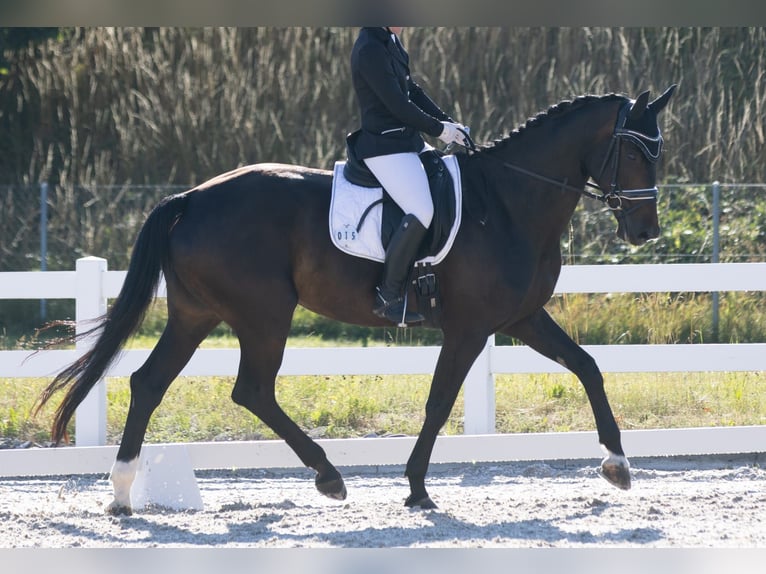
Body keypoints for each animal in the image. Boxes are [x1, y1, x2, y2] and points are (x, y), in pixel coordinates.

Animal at [36, 83, 680, 516]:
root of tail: (191, 197)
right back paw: (329, 476)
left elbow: (588, 366)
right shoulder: (470, 328)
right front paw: (417, 490)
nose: (645, 231)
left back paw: (123, 493)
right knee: (251, 390)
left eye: (659, 150)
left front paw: (619, 466)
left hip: (197, 314)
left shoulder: (520, 318)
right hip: (264, 314)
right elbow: (438, 403)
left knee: (149, 382)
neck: (509, 202)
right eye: (635, 151)